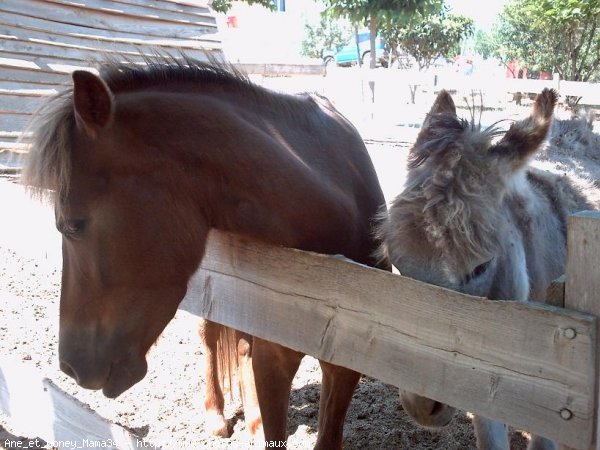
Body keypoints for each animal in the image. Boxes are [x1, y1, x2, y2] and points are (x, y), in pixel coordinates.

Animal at [21, 57, 386, 450]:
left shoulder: (345, 361)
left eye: (72, 225)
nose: (69, 366)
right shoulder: (274, 356)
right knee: (211, 339)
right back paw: (217, 415)